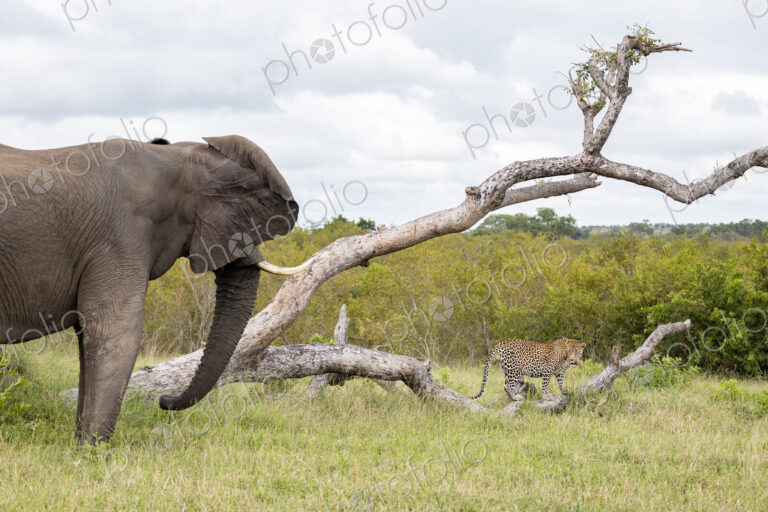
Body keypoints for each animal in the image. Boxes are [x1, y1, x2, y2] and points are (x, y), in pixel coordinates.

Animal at [0, 135, 308, 443]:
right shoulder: (122, 235)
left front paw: (82, 445)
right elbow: (115, 331)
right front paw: (91, 449)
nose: (163, 400)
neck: (173, 158)